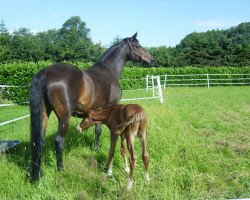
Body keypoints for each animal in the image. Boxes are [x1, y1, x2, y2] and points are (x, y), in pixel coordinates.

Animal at [29, 32, 154, 180]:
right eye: (138, 46)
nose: (152, 60)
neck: (109, 71)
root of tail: (47, 71)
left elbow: (97, 130)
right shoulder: (109, 109)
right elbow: (99, 131)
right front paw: (97, 149)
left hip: (44, 113)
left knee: (39, 142)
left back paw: (39, 174)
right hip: (64, 117)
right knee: (59, 141)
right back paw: (61, 169)